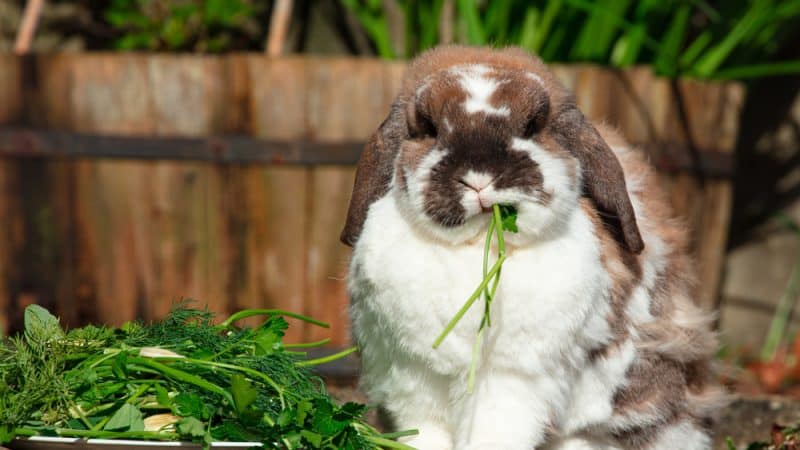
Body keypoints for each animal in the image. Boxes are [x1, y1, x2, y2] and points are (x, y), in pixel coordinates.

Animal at [340, 46, 728, 450]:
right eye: (429, 128)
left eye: (532, 126)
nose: (479, 178)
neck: (476, 251)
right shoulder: (414, 379)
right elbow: (423, 433)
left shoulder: (511, 383)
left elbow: (493, 433)